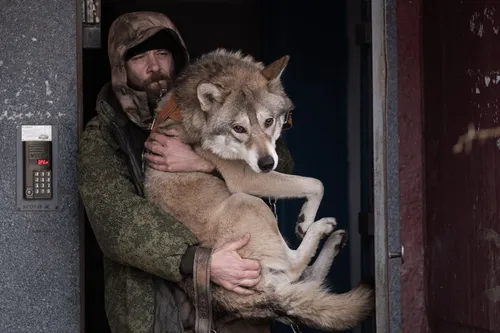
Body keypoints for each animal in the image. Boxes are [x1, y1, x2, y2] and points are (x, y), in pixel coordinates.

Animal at [143, 48, 374, 330]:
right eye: (238, 128)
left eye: (269, 121)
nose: (266, 164)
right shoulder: (245, 179)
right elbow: (316, 183)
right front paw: (306, 220)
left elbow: (311, 183)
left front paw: (304, 220)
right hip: (247, 201)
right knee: (295, 267)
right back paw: (322, 228)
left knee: (308, 279)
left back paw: (334, 240)